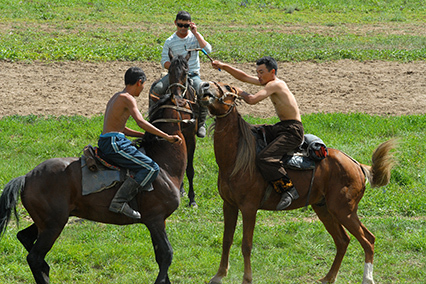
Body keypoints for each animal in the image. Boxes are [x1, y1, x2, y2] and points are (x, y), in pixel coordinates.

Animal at [0, 92, 194, 282]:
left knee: (25, 239)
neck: (163, 166)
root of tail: (27, 177)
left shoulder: (159, 222)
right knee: (34, 257)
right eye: (185, 102)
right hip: (53, 225)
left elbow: (160, 256)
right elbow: (166, 255)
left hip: (47, 222)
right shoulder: (155, 219)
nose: (196, 117)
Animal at [150, 50, 200, 207]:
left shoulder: (190, 137)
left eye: (186, 72)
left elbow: (189, 168)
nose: (177, 96)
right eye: (170, 71)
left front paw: (192, 199)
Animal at [200, 81, 396, 284]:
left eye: (226, 86)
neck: (238, 159)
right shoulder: (229, 205)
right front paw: (219, 275)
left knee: (368, 240)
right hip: (324, 209)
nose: (205, 85)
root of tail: (357, 165)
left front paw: (247, 279)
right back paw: (328, 277)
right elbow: (227, 240)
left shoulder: (249, 207)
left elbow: (246, 244)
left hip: (344, 211)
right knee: (343, 240)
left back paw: (367, 278)